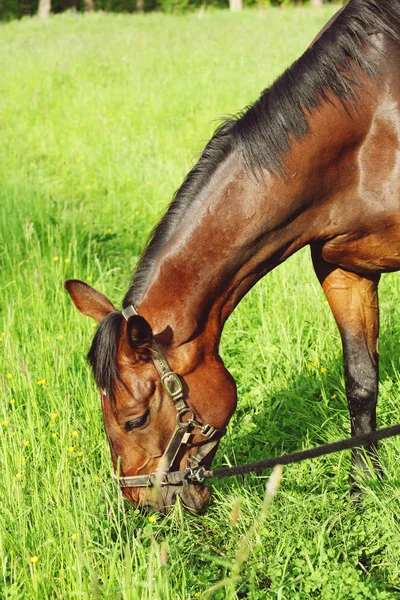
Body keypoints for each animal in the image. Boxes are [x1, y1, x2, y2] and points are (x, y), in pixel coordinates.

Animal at [64, 1, 400, 516]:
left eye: (134, 419)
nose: (141, 504)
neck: (369, 120)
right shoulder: (344, 269)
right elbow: (361, 382)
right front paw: (363, 489)